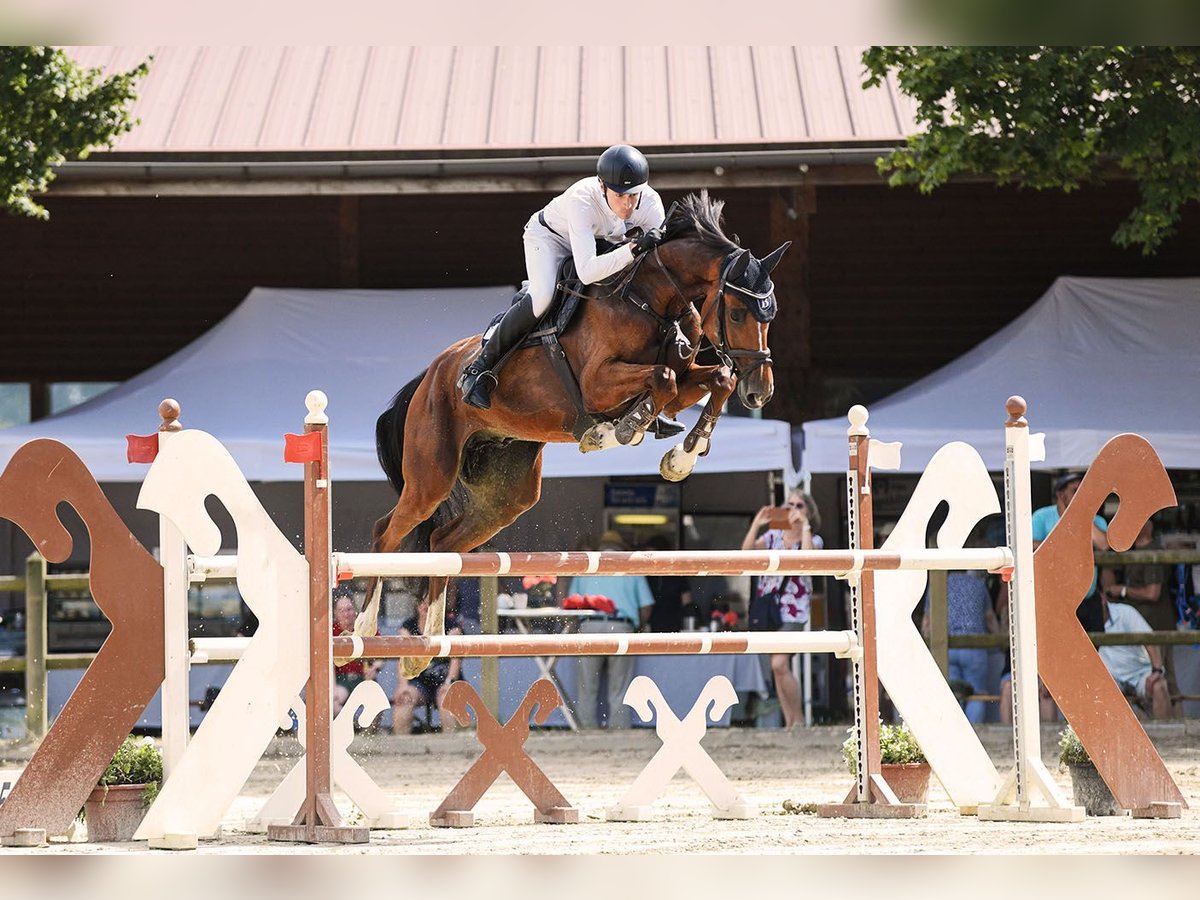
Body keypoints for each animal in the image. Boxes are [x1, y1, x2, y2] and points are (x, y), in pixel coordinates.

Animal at [355, 194, 787, 681]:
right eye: (736, 312)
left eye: (770, 315)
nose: (760, 393)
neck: (652, 301)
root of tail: (429, 376)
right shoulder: (600, 382)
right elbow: (663, 378)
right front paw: (616, 430)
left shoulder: (683, 379)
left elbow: (713, 379)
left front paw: (682, 454)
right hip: (431, 475)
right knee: (386, 533)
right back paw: (365, 629)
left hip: (507, 495)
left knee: (442, 543)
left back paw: (423, 649)